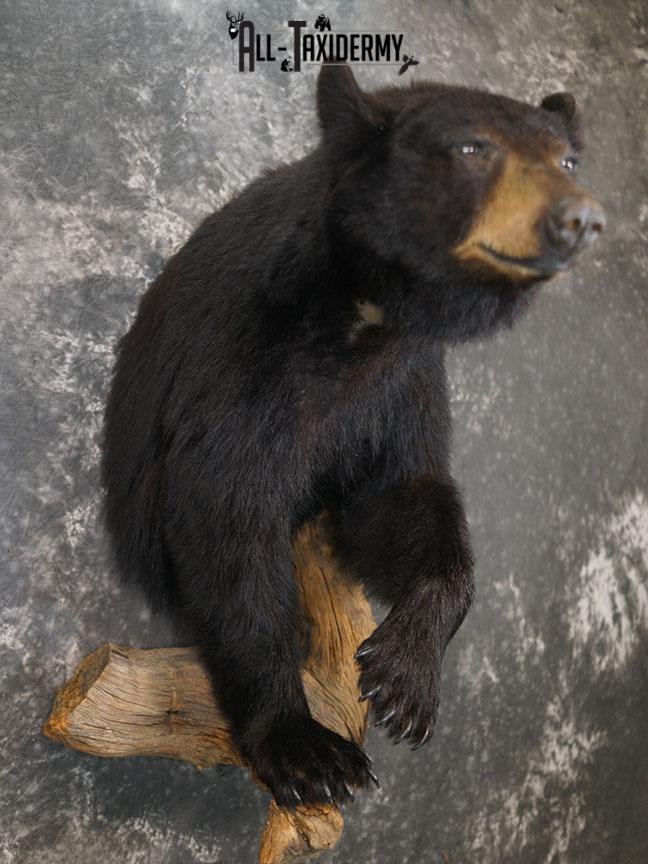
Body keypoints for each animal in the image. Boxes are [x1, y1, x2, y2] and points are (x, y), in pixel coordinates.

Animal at [101, 62, 604, 808]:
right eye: (472, 148)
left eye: (568, 159)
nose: (580, 219)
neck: (360, 316)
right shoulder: (242, 362)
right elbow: (226, 517)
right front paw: (305, 747)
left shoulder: (403, 379)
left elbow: (401, 493)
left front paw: (405, 681)